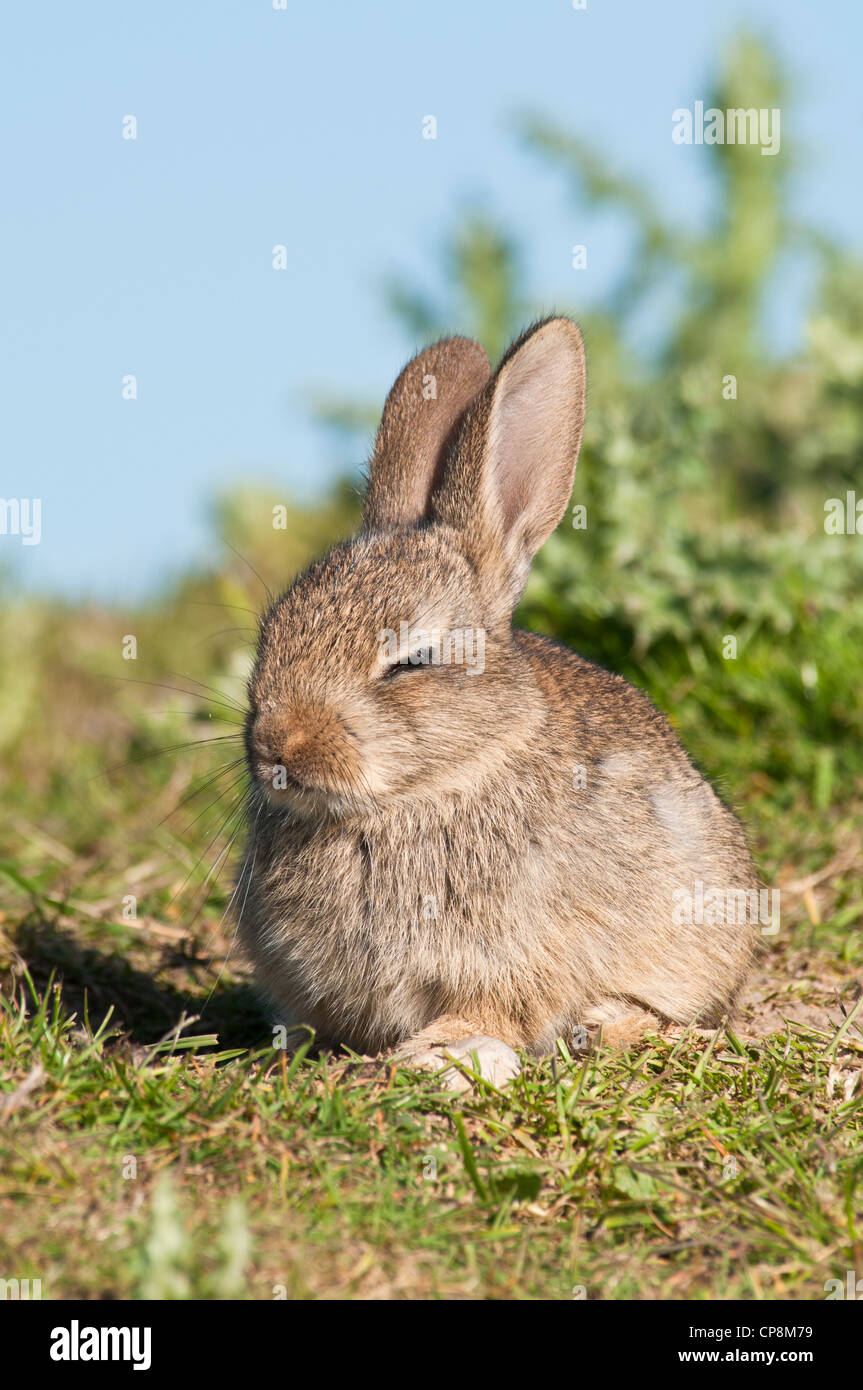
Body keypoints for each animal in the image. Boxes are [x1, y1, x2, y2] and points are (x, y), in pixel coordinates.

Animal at [238, 317, 758, 1085]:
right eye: (272, 632)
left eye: (411, 662)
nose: (278, 743)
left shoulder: (513, 962)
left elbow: (494, 1011)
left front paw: (442, 1055)